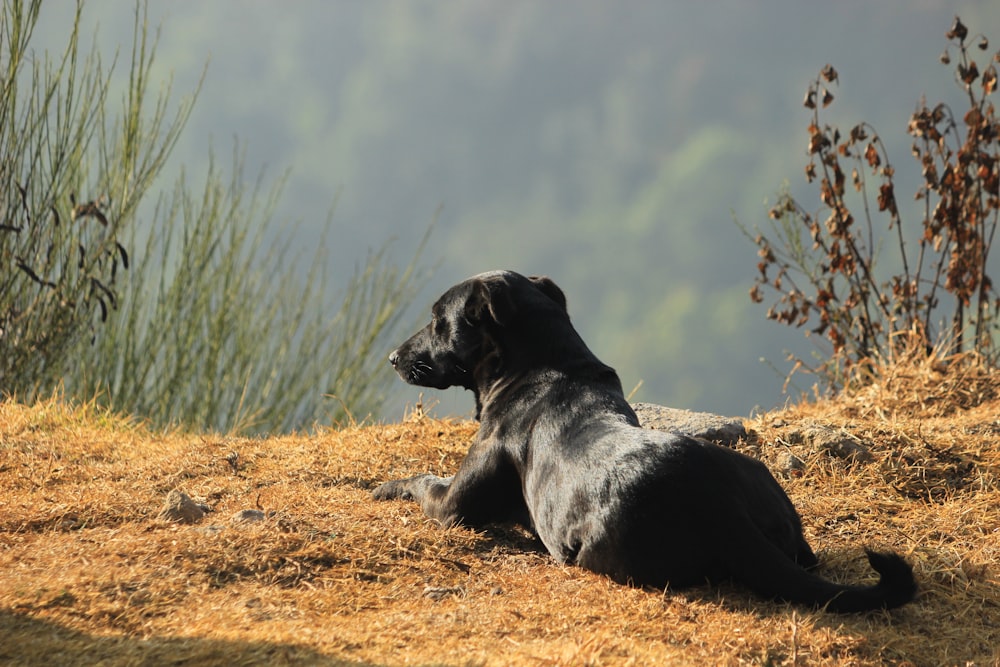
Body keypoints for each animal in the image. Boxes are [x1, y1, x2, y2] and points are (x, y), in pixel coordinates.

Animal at [374, 268, 916, 612]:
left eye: (438, 320)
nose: (392, 357)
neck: (545, 364)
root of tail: (721, 507)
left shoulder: (453, 505)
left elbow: (419, 480)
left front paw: (382, 486)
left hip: (597, 552)